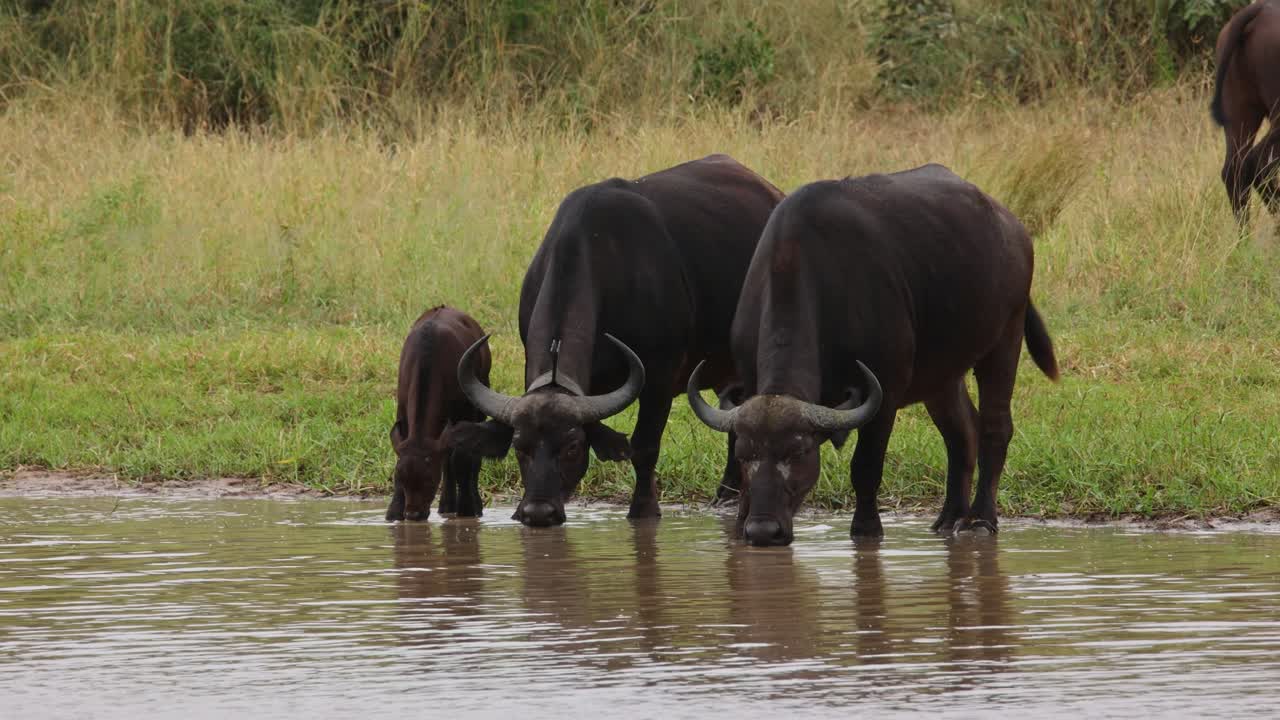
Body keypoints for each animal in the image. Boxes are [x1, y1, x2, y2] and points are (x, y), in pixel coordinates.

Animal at [385, 306, 491, 522]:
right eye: (399, 478)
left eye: (430, 480)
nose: (413, 514)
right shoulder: (403, 414)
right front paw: (394, 511)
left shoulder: (465, 414)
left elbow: (463, 460)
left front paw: (467, 508)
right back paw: (446, 506)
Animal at [451, 154, 785, 527]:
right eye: (520, 447)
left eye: (572, 446)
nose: (539, 512)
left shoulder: (659, 377)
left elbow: (644, 446)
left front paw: (644, 509)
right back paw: (725, 493)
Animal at [687, 164, 1059, 546]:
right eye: (745, 455)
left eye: (799, 451)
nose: (764, 531)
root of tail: (1012, 227)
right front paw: (739, 527)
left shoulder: (886, 393)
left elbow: (865, 466)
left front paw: (866, 529)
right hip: (942, 376)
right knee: (961, 432)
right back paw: (949, 517)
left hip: (1005, 339)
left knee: (995, 428)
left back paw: (980, 520)